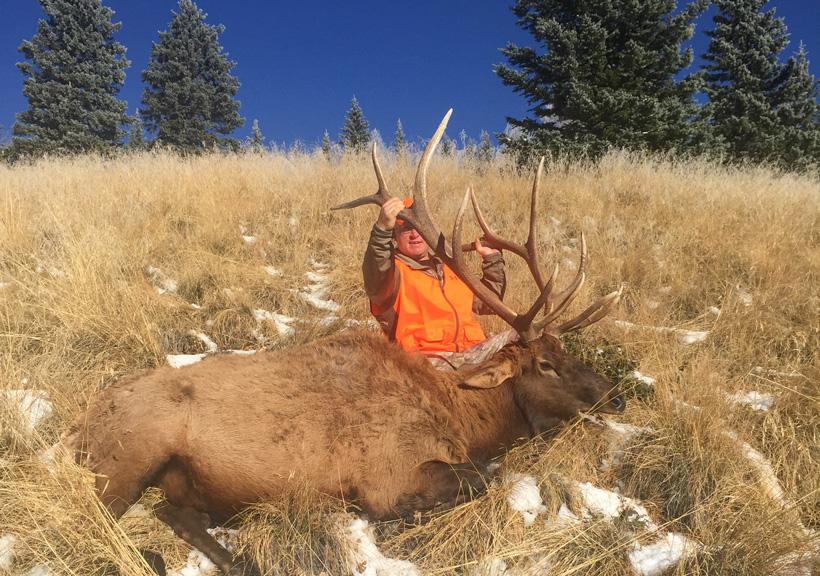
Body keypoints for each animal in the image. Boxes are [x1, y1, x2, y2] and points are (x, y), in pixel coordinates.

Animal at [67, 110, 625, 576]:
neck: (465, 418)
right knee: (93, 515)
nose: (615, 395)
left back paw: (236, 556)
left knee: (173, 510)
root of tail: (84, 422)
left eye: (568, 353)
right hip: (130, 453)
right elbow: (479, 477)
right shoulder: (389, 471)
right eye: (546, 364)